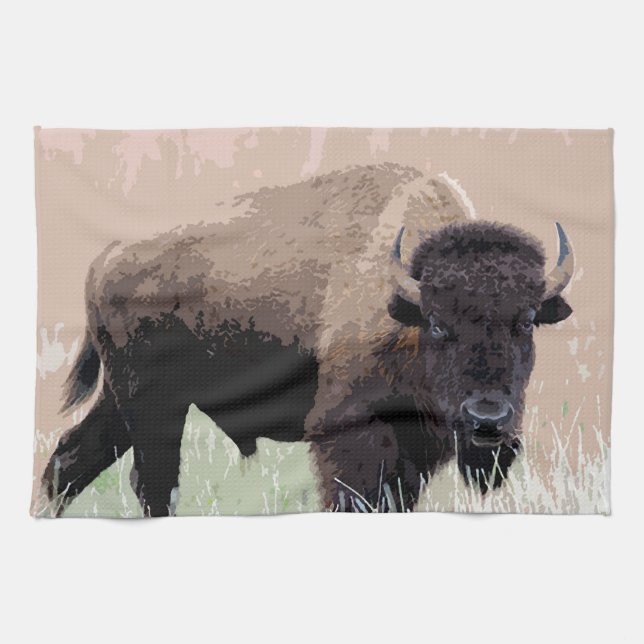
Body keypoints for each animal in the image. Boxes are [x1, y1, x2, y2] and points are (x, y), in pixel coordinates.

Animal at [41, 163, 574, 515]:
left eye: (527, 321)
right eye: (438, 323)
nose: (488, 418)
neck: (403, 301)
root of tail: (106, 256)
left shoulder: (419, 445)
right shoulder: (352, 434)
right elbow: (353, 496)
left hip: (125, 400)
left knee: (72, 457)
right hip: (151, 406)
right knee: (151, 480)